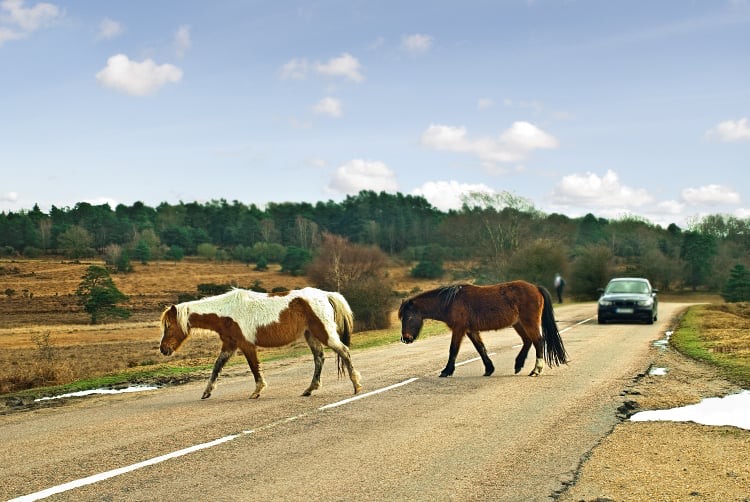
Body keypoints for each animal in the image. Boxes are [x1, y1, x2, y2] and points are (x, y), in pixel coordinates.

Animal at [159, 287, 362, 399]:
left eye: (169, 326)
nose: (163, 349)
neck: (226, 312)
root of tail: (326, 295)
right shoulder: (229, 346)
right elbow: (217, 367)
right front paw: (206, 392)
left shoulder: (246, 345)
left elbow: (254, 368)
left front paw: (257, 391)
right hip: (311, 336)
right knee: (319, 358)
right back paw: (309, 389)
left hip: (325, 334)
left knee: (344, 351)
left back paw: (356, 386)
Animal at [398, 280, 568, 377]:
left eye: (408, 317)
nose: (405, 338)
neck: (451, 301)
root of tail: (536, 288)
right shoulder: (471, 330)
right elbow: (481, 348)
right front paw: (489, 369)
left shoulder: (459, 329)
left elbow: (453, 350)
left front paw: (446, 371)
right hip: (518, 324)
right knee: (528, 341)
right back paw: (518, 364)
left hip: (529, 323)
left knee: (538, 341)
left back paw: (536, 370)